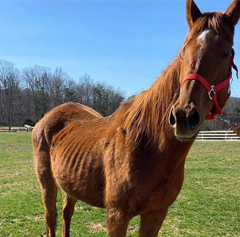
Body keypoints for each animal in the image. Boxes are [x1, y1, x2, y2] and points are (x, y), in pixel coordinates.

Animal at [31, 0, 240, 236]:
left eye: (226, 54)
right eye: (182, 53)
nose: (183, 116)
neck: (149, 144)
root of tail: (47, 118)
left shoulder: (156, 213)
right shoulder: (117, 215)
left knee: (67, 211)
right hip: (47, 182)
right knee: (51, 217)